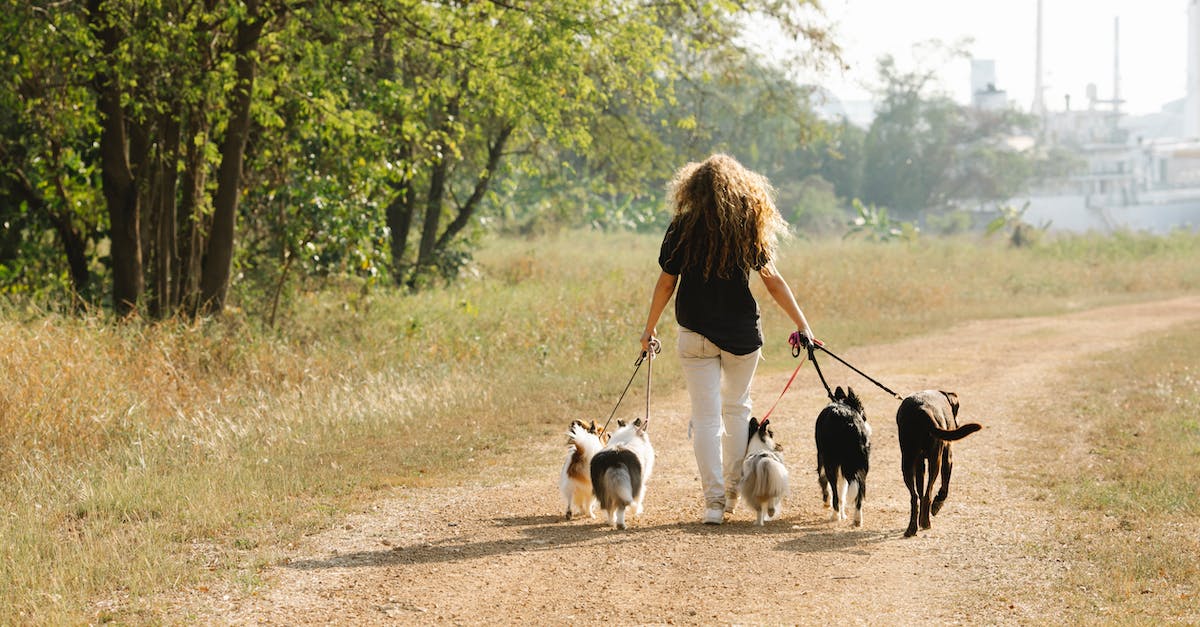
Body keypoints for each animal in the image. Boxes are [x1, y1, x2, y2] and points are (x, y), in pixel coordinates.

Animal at [816, 381, 873, 523]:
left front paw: (828, 503)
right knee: (860, 488)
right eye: (864, 413)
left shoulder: (822, 457)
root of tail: (848, 420)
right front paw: (844, 514)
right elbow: (843, 490)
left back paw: (835, 515)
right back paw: (857, 519)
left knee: (834, 489)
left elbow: (825, 482)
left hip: (831, 461)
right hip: (862, 463)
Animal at [892, 386, 984, 533]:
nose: (957, 422)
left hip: (907, 460)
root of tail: (921, 409)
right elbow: (944, 486)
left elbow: (920, 492)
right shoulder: (948, 456)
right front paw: (938, 503)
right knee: (928, 494)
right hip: (936, 459)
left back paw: (912, 528)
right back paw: (926, 522)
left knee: (915, 497)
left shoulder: (919, 464)